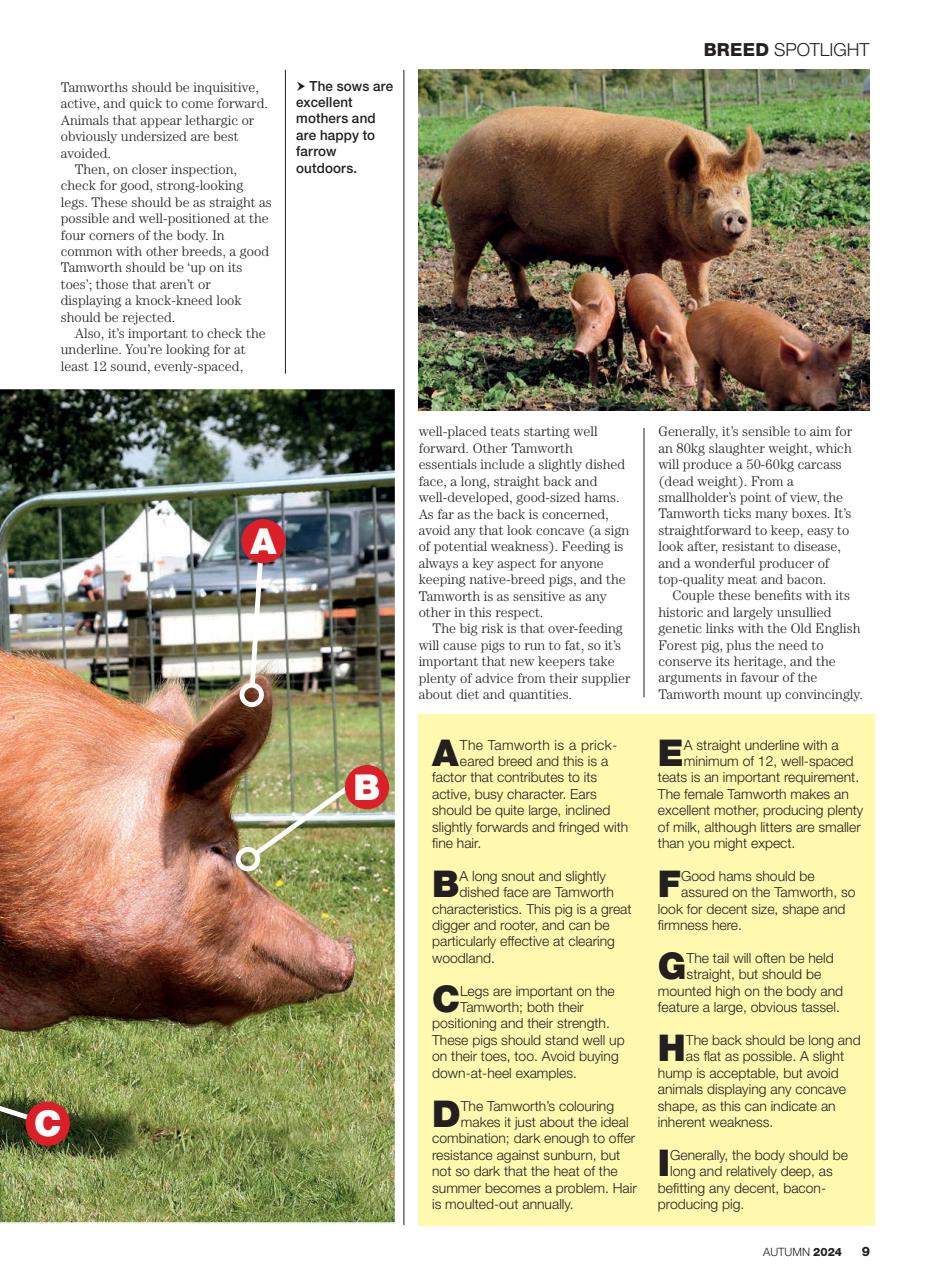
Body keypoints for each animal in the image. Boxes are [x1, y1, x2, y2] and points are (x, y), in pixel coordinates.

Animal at [431, 106, 762, 311]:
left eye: (738, 190)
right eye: (704, 194)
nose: (733, 215)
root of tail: (454, 153)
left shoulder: (694, 254)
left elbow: (699, 283)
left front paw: (701, 307)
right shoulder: (636, 241)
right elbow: (650, 278)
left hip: (506, 225)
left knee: (511, 261)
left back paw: (530, 303)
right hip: (469, 216)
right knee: (463, 262)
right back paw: (460, 308)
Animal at [686, 301, 853, 410]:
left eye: (834, 374)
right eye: (807, 377)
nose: (828, 403)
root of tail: (696, 312)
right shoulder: (772, 390)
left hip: (702, 356)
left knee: (701, 377)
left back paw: (703, 406)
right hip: (706, 354)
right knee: (713, 384)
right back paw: (735, 408)